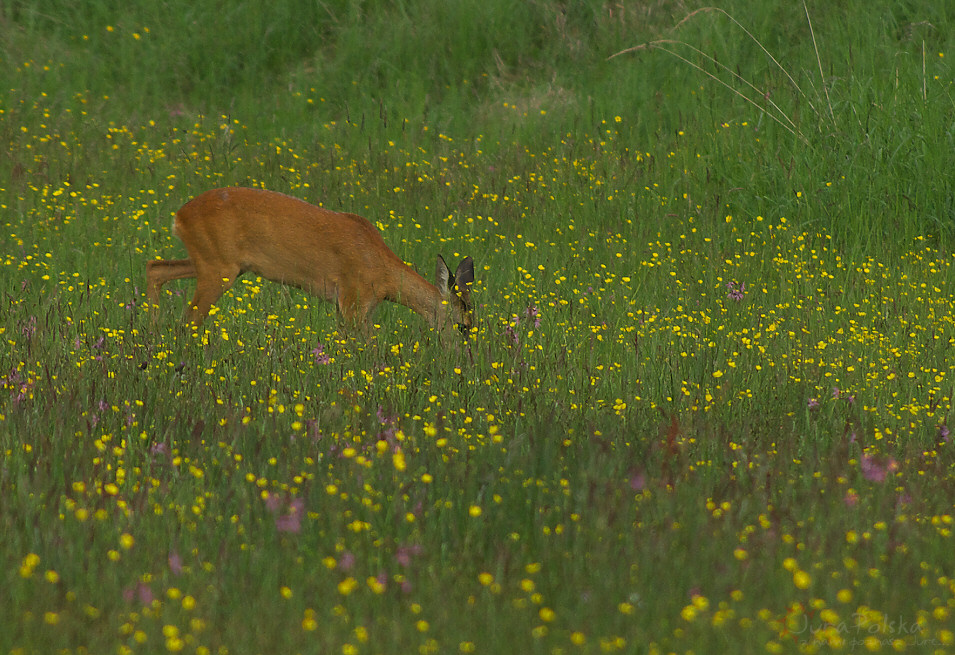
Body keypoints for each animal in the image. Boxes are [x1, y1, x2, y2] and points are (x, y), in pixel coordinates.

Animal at [146, 186, 474, 336]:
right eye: (463, 326)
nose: (462, 359)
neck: (384, 275)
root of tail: (179, 216)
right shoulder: (354, 302)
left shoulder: (347, 308)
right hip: (218, 267)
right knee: (188, 320)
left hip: (214, 262)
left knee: (155, 268)